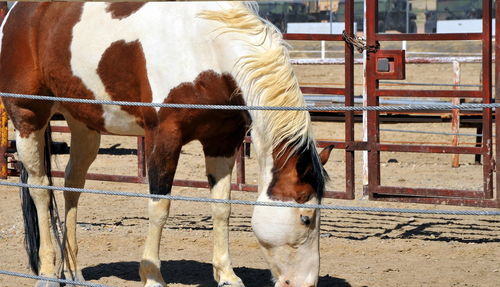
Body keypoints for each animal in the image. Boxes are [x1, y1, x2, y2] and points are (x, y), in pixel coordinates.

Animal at [1, 2, 334, 287]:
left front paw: (227, 275)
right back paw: (47, 273)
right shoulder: (164, 138)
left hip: (84, 124)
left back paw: (73, 273)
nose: (306, 283)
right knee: (40, 189)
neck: (207, 51)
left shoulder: (222, 141)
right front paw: (151, 275)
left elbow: (222, 206)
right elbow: (160, 206)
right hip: (29, 117)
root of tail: (17, 12)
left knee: (73, 185)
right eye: (306, 218)